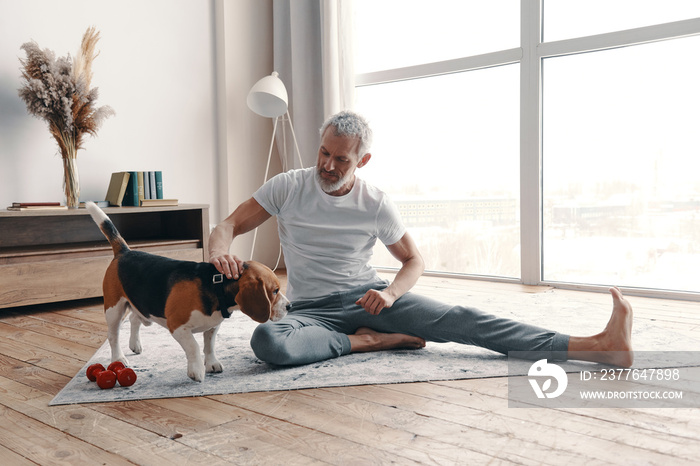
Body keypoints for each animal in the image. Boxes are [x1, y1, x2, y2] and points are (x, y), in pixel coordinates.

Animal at [86, 202, 288, 380]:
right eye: (275, 291)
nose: (290, 306)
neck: (216, 286)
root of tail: (124, 251)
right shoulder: (177, 326)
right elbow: (194, 347)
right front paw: (196, 371)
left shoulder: (213, 326)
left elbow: (209, 346)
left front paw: (211, 363)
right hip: (114, 309)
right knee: (113, 336)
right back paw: (118, 358)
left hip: (141, 305)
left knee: (135, 318)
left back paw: (135, 344)